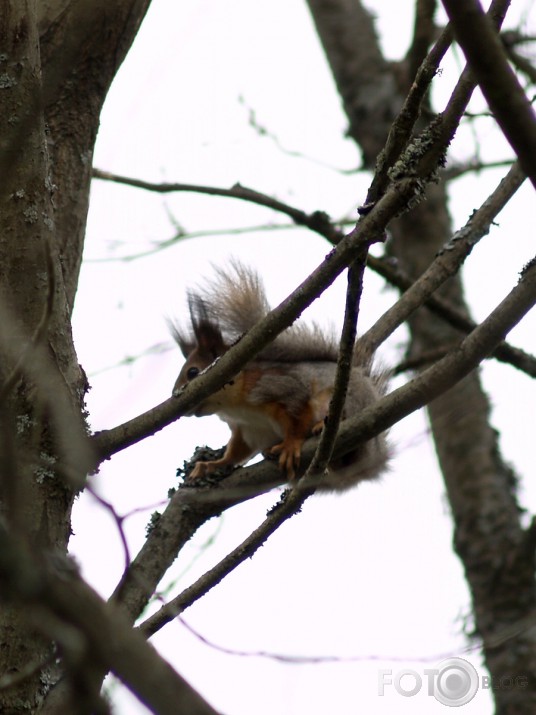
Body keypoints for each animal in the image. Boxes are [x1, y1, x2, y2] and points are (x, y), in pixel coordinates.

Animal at [172, 262, 390, 492]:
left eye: (192, 372)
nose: (176, 396)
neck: (235, 406)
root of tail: (376, 456)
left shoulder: (280, 388)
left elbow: (297, 416)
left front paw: (290, 445)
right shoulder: (246, 430)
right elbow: (235, 454)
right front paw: (210, 466)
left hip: (342, 403)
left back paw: (322, 427)